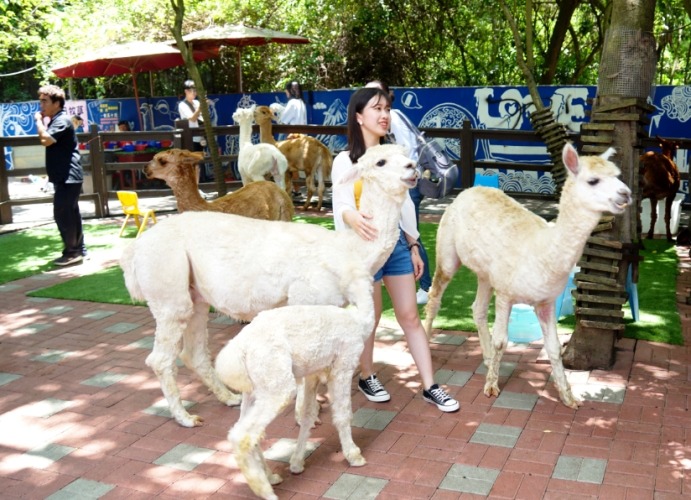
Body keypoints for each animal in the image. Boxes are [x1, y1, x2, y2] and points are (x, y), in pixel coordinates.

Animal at [215, 297, 374, 500]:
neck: (358, 321)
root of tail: (236, 352)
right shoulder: (343, 366)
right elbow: (343, 415)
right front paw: (354, 456)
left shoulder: (312, 373)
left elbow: (307, 416)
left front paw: (297, 463)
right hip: (278, 384)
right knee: (242, 434)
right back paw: (266, 491)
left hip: (254, 391)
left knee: (251, 431)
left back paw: (271, 477)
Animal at [423, 143, 632, 409]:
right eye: (593, 180)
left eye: (618, 175)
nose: (626, 194)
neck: (540, 250)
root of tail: (468, 190)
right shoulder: (505, 293)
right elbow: (502, 340)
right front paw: (491, 387)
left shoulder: (545, 301)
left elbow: (553, 347)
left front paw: (568, 397)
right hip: (448, 251)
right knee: (435, 296)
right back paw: (426, 342)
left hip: (486, 273)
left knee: (477, 308)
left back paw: (488, 357)